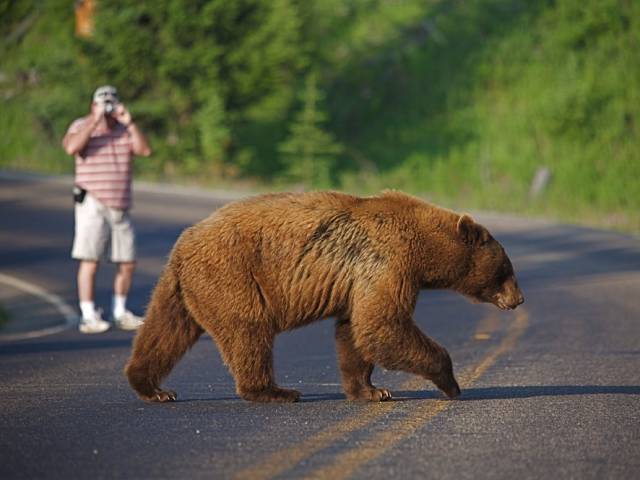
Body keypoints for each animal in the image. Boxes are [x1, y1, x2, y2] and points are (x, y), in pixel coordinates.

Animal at [122, 189, 524, 404]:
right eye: (506, 269)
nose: (519, 299)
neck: (425, 250)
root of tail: (183, 243)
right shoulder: (387, 262)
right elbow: (383, 325)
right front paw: (451, 382)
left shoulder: (359, 280)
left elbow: (355, 332)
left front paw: (371, 390)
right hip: (232, 276)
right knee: (248, 331)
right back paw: (275, 390)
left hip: (185, 287)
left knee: (165, 331)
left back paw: (152, 387)